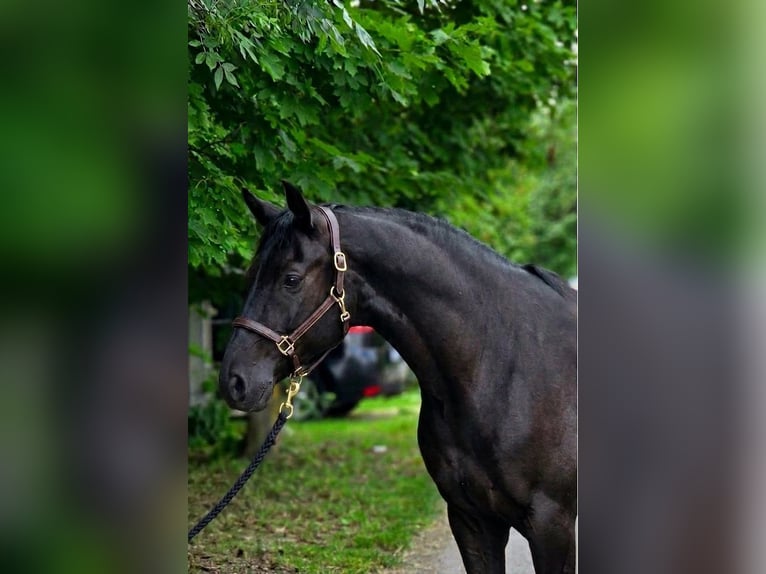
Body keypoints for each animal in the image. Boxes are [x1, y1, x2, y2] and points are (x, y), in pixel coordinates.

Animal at [219, 182, 577, 574]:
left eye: (292, 279)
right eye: (250, 275)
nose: (234, 381)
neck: (500, 368)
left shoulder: (551, 527)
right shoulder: (472, 520)